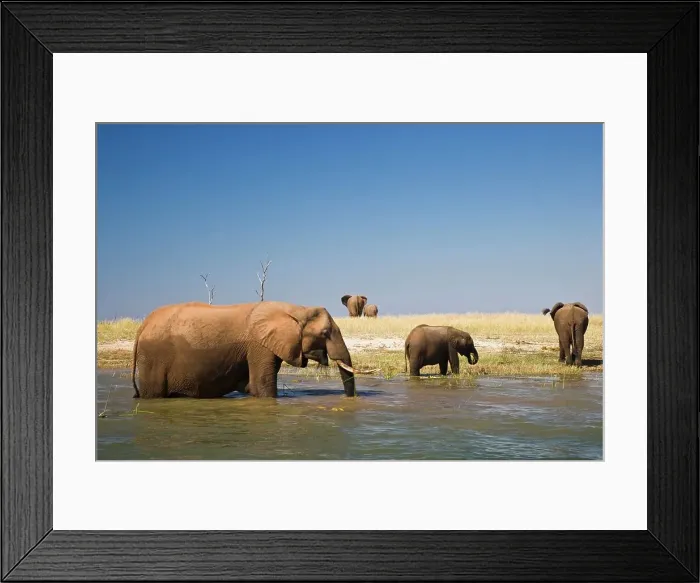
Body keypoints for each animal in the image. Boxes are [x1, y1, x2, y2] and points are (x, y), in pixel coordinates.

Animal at [131, 300, 371, 399]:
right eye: (325, 333)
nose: (352, 400)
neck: (296, 309)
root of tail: (142, 326)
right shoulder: (259, 345)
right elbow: (261, 387)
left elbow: (251, 386)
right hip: (153, 358)